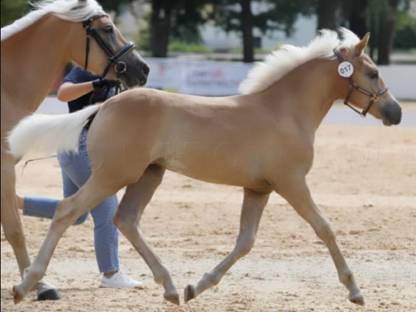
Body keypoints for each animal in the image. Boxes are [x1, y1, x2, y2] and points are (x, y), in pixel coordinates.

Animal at [8, 28, 402, 304]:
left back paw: (170, 288)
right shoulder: (291, 183)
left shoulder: (258, 188)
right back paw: (26, 285)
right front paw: (355, 291)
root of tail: (102, 106)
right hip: (113, 174)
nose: (396, 113)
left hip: (148, 174)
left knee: (126, 220)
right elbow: (325, 228)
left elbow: (245, 242)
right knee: (68, 210)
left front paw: (197, 286)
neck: (285, 112)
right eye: (371, 72)